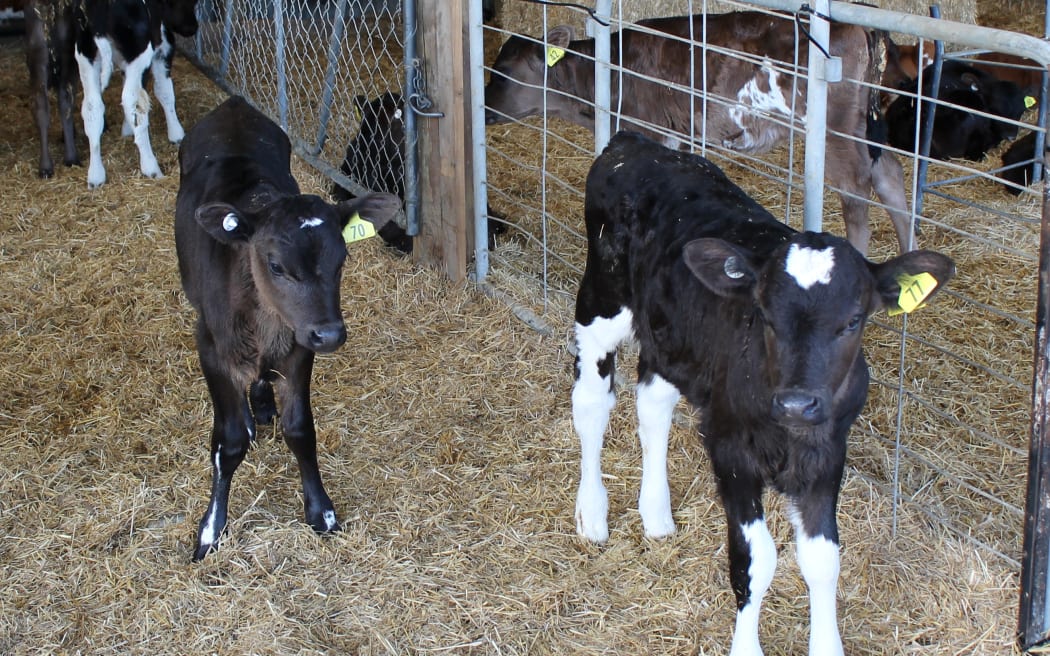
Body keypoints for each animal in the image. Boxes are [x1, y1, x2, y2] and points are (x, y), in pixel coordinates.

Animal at [25, 0, 80, 179]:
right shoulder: (39, 60)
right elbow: (43, 111)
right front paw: (46, 167)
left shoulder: (67, 58)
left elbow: (65, 105)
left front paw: (71, 157)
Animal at [74, 0, 199, 188]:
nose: (193, 27)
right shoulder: (163, 48)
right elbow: (164, 91)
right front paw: (177, 134)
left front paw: (126, 130)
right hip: (140, 53)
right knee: (132, 103)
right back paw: (150, 166)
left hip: (86, 54)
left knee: (92, 107)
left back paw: (96, 175)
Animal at [175, 95, 401, 561]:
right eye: (276, 265)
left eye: (342, 260)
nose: (331, 334)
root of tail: (233, 103)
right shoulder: (210, 347)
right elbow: (227, 442)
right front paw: (211, 530)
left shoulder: (300, 345)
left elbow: (301, 430)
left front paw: (321, 512)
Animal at [484, 12, 915, 256]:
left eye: (502, 73)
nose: (483, 108)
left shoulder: (648, 129)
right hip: (862, 124)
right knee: (889, 174)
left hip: (836, 126)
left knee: (856, 191)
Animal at [571, 131, 954, 655]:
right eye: (766, 315)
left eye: (853, 320)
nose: (797, 403)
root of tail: (634, 142)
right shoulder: (731, 448)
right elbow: (756, 559)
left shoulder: (827, 453)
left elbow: (823, 560)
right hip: (601, 299)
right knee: (592, 403)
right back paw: (592, 514)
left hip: (672, 337)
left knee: (653, 404)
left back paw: (656, 515)